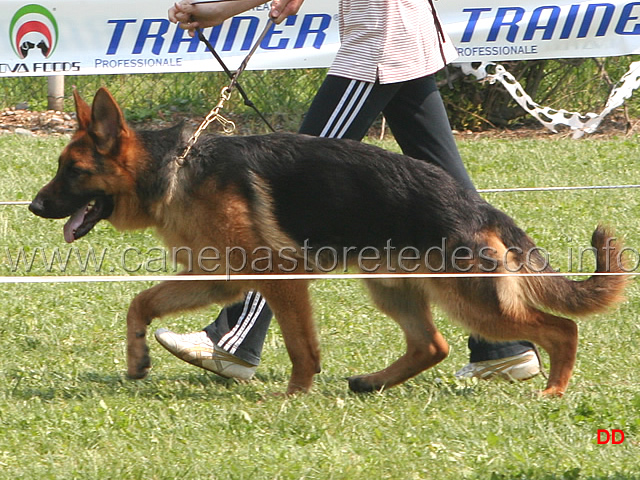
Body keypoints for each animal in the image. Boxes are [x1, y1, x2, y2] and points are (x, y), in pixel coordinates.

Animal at [28, 88, 624, 396]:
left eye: (73, 171)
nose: (33, 206)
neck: (175, 168)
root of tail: (477, 205)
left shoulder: (280, 280)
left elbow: (301, 347)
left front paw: (293, 397)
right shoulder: (218, 279)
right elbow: (140, 301)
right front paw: (136, 358)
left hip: (469, 300)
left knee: (561, 329)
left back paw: (554, 390)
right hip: (393, 289)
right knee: (433, 345)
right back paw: (373, 383)